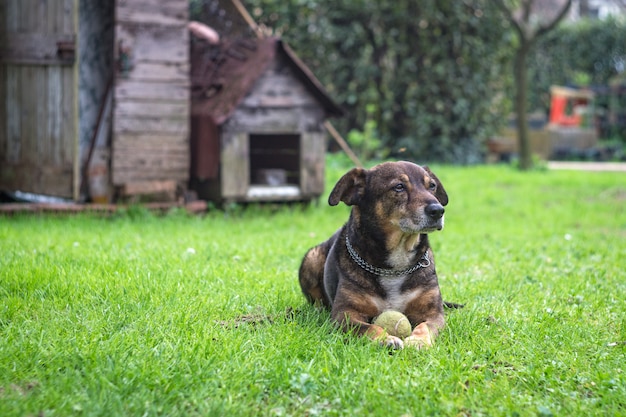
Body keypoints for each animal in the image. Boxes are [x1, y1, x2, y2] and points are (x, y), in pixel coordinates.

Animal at [298, 160, 448, 348]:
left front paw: (418, 341)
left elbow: (425, 326)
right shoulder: (345, 314)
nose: (438, 210)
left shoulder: (433, 312)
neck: (395, 266)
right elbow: (367, 328)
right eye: (399, 187)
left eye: (432, 186)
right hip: (311, 258)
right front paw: (385, 339)